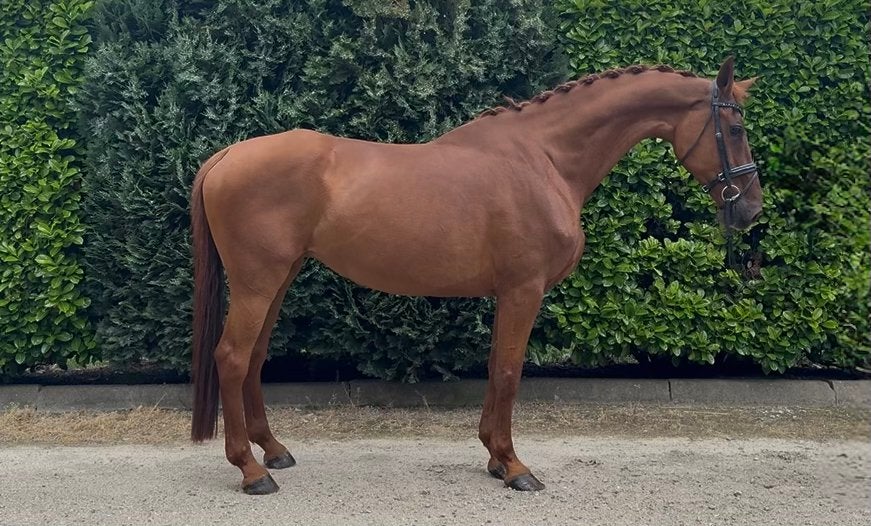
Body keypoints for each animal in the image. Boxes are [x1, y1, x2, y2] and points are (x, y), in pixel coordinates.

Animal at [189, 57, 762, 494]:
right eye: (735, 130)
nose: (751, 209)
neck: (544, 159)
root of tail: (226, 155)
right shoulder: (523, 291)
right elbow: (508, 372)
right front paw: (513, 466)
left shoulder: (508, 295)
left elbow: (494, 369)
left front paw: (493, 456)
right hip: (259, 282)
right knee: (233, 357)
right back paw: (252, 471)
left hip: (279, 278)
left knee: (254, 359)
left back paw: (274, 451)